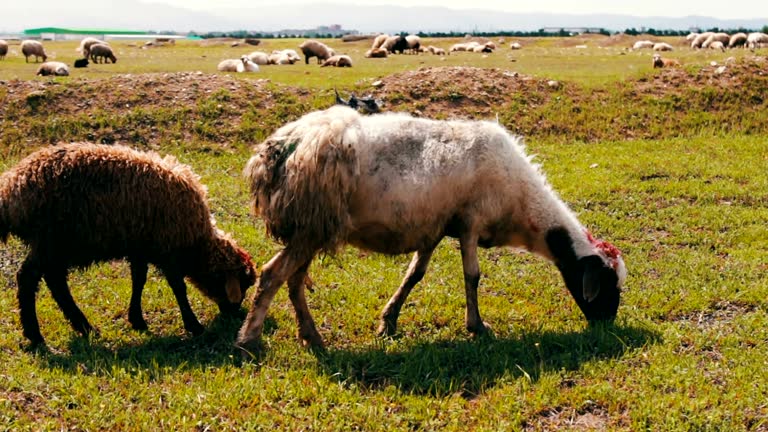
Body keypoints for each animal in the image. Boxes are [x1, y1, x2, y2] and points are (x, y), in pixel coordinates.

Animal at [0, 143, 258, 348]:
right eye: (243, 284)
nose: (234, 312)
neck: (196, 240)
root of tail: (13, 188)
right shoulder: (166, 249)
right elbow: (178, 287)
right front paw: (194, 325)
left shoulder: (140, 247)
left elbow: (139, 279)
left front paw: (137, 320)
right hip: (50, 240)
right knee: (28, 278)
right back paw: (36, 335)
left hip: (57, 247)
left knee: (55, 282)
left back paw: (84, 327)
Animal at [237, 105, 628, 352]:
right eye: (608, 283)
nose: (607, 325)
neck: (521, 207)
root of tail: (274, 153)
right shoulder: (470, 222)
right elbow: (472, 276)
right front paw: (477, 327)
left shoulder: (435, 227)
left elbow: (415, 275)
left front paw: (388, 322)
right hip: (312, 225)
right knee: (273, 275)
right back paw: (249, 340)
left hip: (311, 227)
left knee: (293, 281)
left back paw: (311, 337)